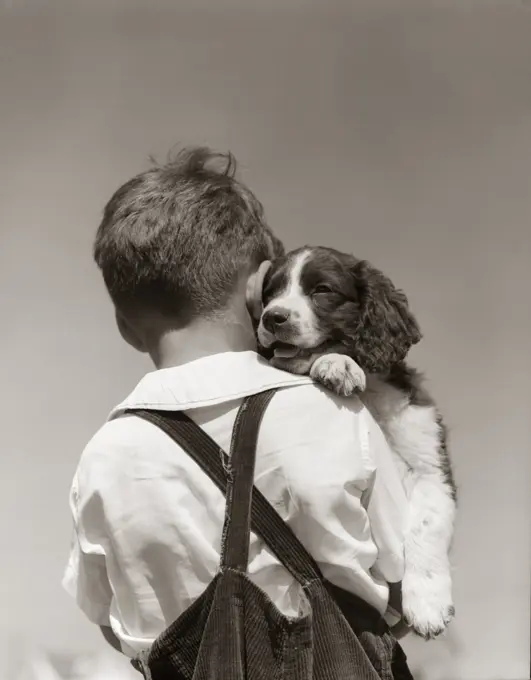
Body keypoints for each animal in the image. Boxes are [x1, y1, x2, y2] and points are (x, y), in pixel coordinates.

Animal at [246, 247, 458, 640]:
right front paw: (338, 365)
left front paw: (428, 605)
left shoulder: (430, 463)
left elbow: (425, 524)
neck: (371, 392)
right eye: (270, 292)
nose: (272, 317)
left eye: (323, 290)